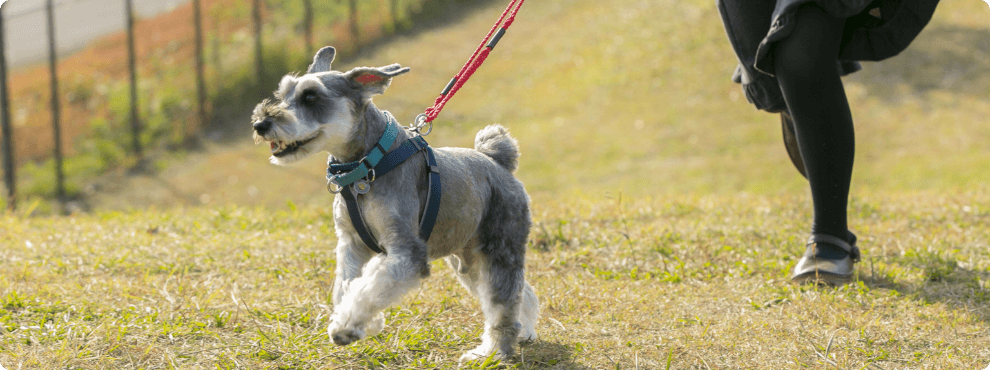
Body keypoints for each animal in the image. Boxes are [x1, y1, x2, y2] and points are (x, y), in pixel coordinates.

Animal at [252, 46, 540, 362]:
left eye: (311, 97)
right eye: (283, 94)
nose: (261, 124)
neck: (368, 166)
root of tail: (498, 162)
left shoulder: (405, 251)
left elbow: (371, 286)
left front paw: (346, 326)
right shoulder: (351, 243)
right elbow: (346, 285)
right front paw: (363, 321)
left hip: (498, 249)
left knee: (501, 305)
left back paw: (491, 352)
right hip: (469, 261)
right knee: (519, 293)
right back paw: (525, 331)